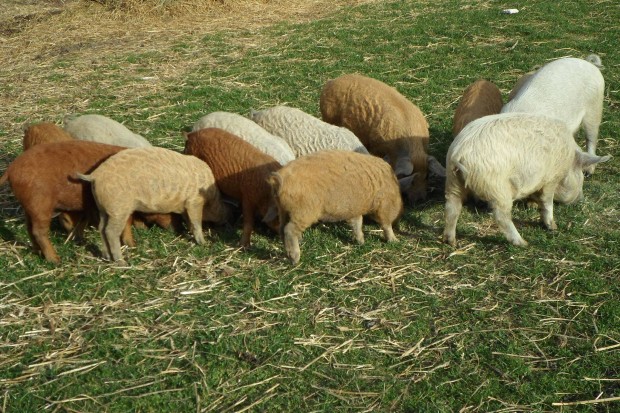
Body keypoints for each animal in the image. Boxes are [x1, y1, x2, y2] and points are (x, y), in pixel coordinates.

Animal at [0, 140, 131, 262]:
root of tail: (11, 169)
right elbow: (126, 223)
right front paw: (130, 244)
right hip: (40, 205)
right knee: (38, 231)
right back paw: (55, 260)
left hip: (30, 207)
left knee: (29, 228)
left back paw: (38, 252)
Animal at [78, 146, 229, 260]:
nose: (226, 221)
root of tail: (94, 175)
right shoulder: (194, 201)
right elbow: (196, 222)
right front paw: (203, 243)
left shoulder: (186, 206)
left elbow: (190, 221)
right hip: (118, 208)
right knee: (110, 231)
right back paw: (121, 261)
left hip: (103, 208)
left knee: (101, 228)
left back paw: (107, 257)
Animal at [266, 149, 402, 264]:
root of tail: (280, 180)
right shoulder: (384, 204)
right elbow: (385, 224)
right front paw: (394, 241)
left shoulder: (354, 209)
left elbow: (357, 223)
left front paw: (361, 242)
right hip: (304, 212)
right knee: (289, 230)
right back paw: (295, 259)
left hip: (283, 210)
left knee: (282, 229)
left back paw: (292, 252)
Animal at [446, 112, 612, 246]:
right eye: (581, 178)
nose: (581, 199)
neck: (568, 160)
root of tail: (459, 154)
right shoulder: (551, 178)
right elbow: (547, 201)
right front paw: (552, 227)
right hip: (497, 188)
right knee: (501, 216)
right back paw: (523, 243)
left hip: (453, 182)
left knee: (452, 208)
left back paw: (451, 242)